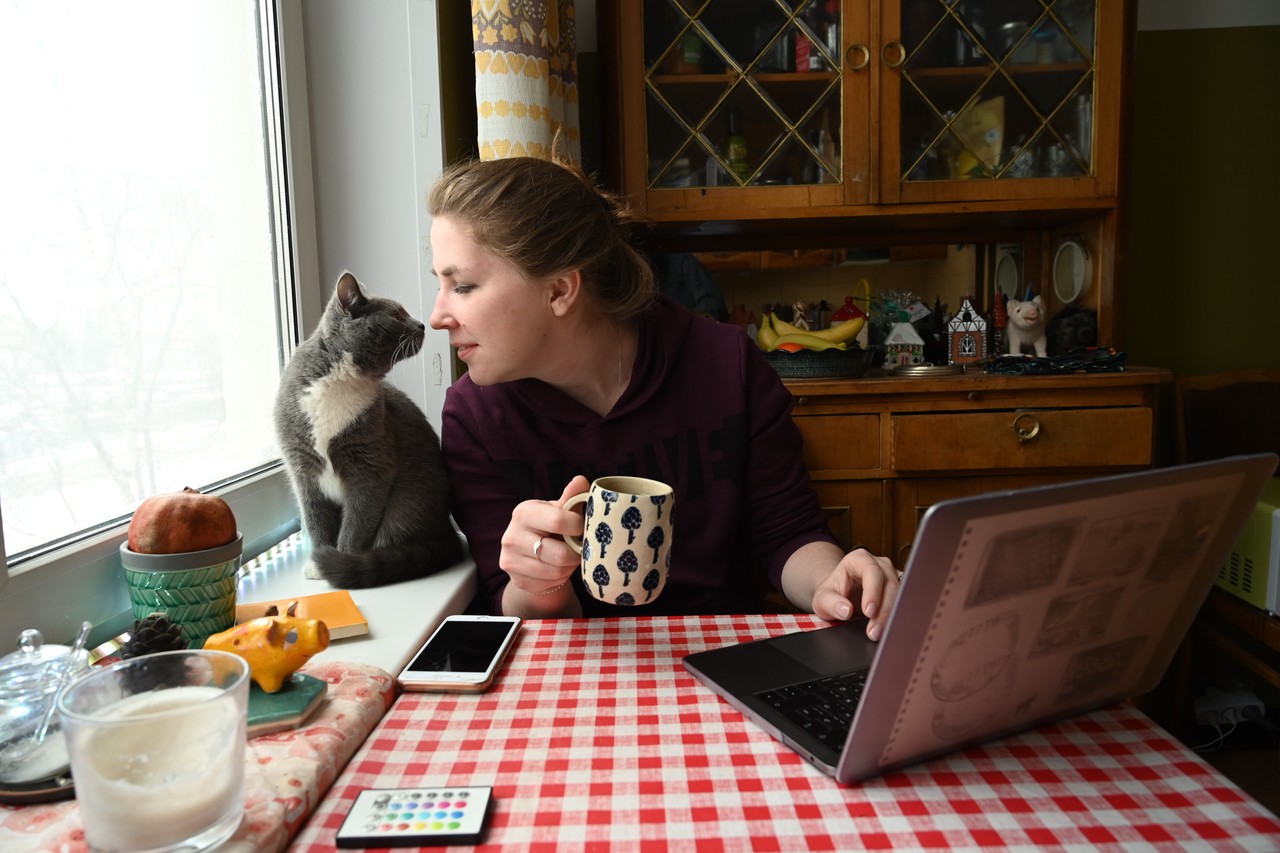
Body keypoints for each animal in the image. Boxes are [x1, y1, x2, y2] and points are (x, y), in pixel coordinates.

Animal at [272, 272, 463, 584]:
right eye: (396, 315)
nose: (422, 324)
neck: (343, 379)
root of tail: (447, 534)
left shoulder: (371, 466)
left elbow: (358, 521)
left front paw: (339, 561)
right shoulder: (303, 469)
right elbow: (315, 518)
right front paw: (318, 560)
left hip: (407, 504)